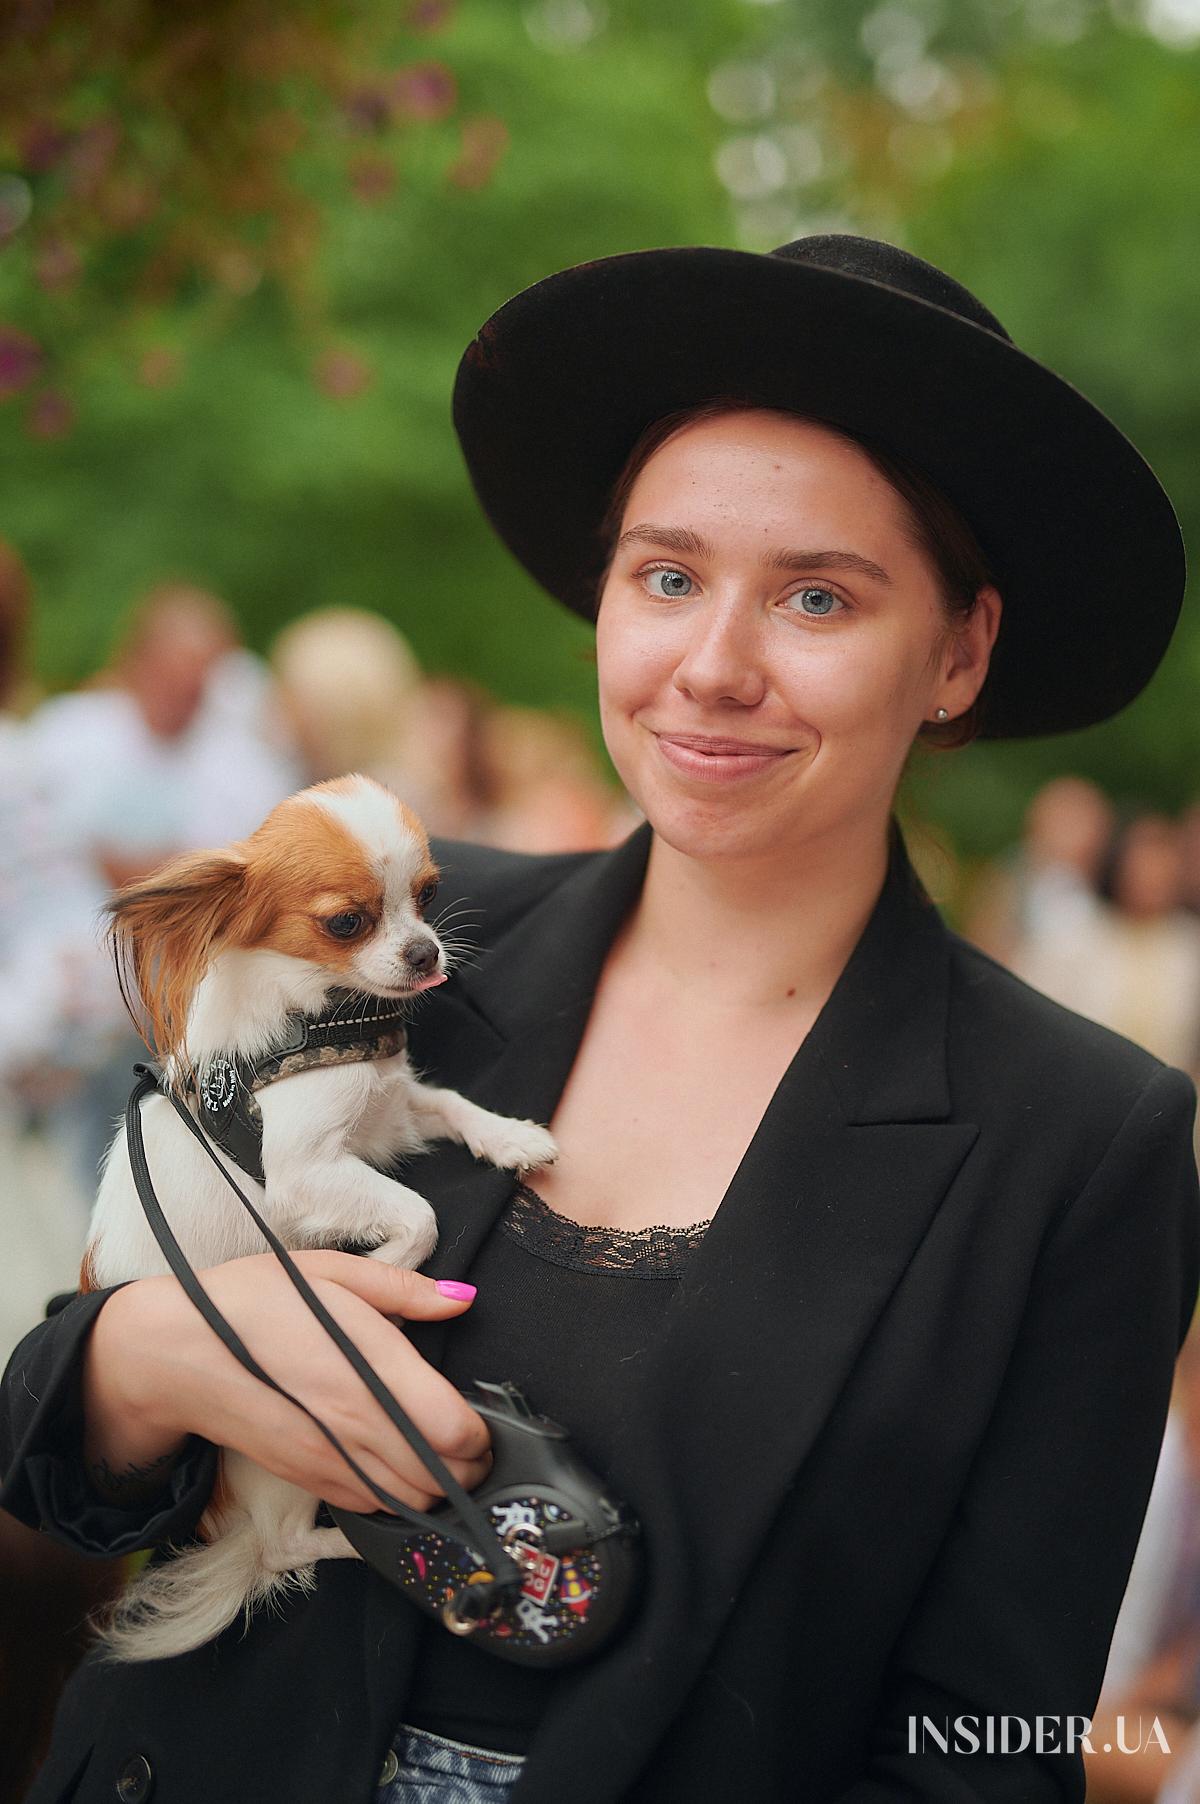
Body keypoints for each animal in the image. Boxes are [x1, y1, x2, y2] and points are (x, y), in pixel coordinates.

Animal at [85, 775, 555, 1659]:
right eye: (347, 922)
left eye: (428, 895)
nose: (426, 953)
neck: (324, 1018)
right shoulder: (305, 1176)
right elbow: (417, 1216)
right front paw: (378, 1280)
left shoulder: (389, 1114)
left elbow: (450, 1102)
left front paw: (510, 1137)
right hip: (280, 1456)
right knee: (283, 1548)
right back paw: (383, 1545)